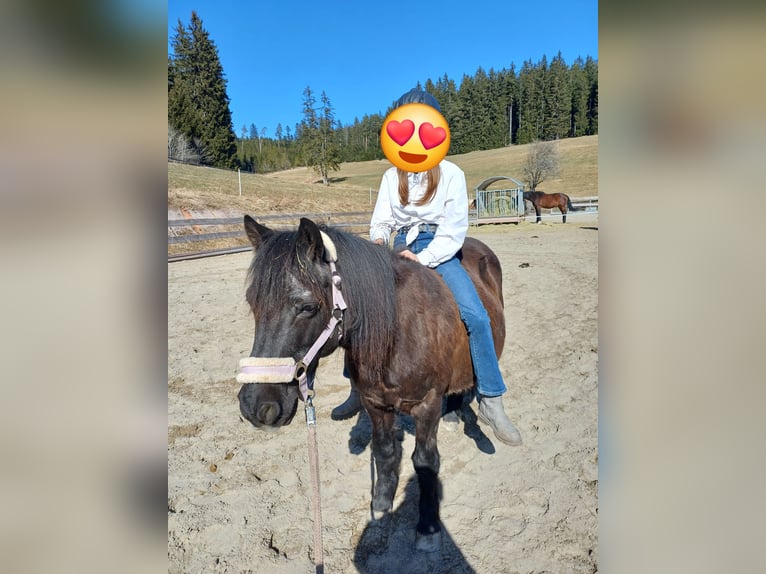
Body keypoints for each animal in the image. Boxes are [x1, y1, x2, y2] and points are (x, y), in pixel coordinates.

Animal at [236, 215, 506, 552]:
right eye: (252, 303)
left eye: (308, 307)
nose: (256, 405)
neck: (400, 332)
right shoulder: (375, 404)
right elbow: (385, 451)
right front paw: (380, 507)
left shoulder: (427, 404)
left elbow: (426, 461)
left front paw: (428, 527)